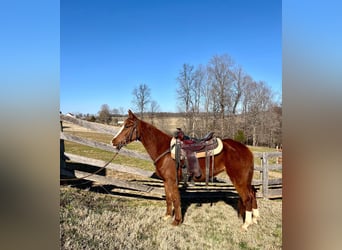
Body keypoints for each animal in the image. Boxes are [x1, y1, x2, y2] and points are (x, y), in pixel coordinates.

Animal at [112, 110, 260, 230]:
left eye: (127, 126)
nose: (113, 141)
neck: (164, 149)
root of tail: (246, 149)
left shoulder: (172, 181)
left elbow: (176, 199)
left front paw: (177, 221)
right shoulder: (166, 181)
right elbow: (169, 198)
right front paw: (167, 216)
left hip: (239, 180)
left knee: (247, 197)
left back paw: (246, 224)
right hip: (245, 180)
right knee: (252, 193)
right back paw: (255, 219)